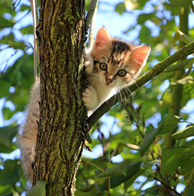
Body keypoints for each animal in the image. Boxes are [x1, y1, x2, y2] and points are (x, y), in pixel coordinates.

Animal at [18, 26, 151, 182]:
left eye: (122, 72)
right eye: (103, 65)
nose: (109, 80)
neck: (98, 81)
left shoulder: (106, 94)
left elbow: (96, 104)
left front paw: (90, 97)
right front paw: (87, 62)